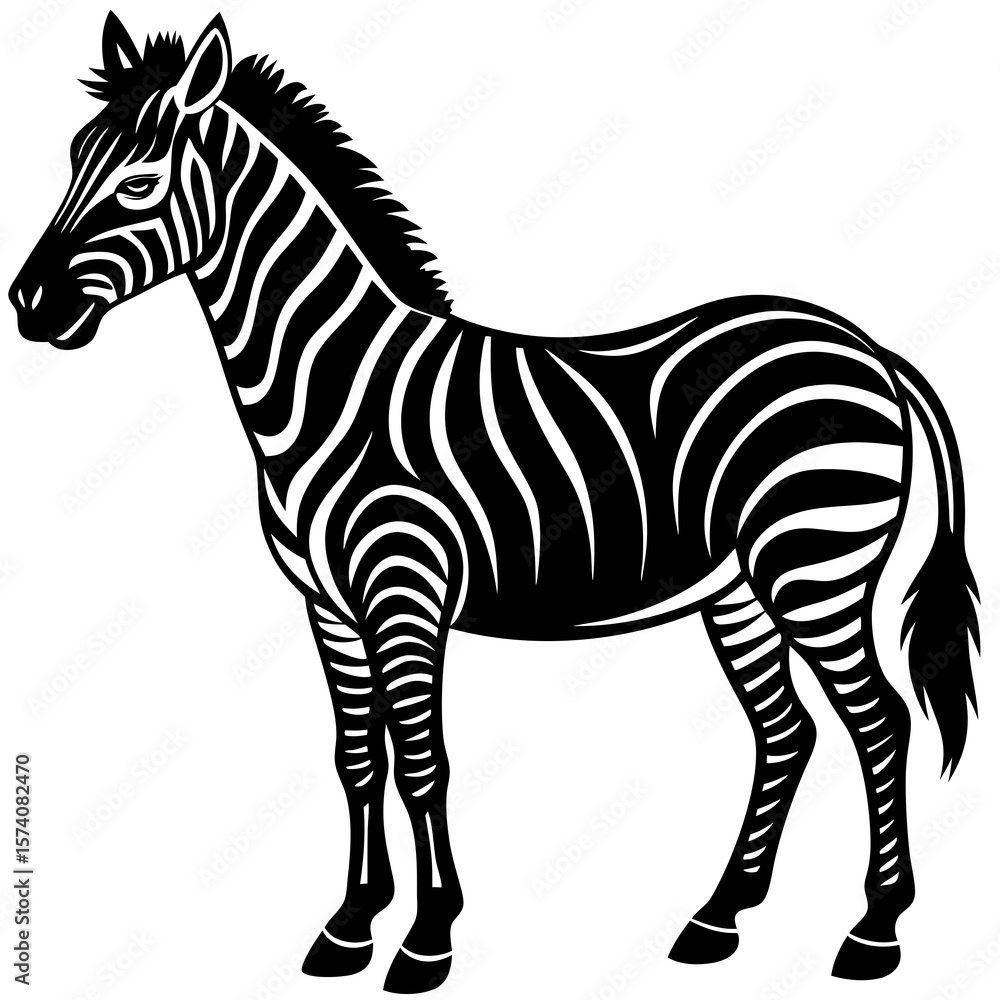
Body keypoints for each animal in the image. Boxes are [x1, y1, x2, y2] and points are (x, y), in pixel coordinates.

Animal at [9, 13, 980, 993]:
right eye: (70, 158)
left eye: (137, 183)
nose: (28, 303)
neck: (332, 386)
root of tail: (863, 344)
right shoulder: (328, 605)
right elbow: (356, 759)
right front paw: (349, 926)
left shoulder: (405, 587)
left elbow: (422, 761)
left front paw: (426, 938)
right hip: (739, 587)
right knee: (787, 732)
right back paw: (718, 920)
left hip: (814, 561)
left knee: (880, 722)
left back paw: (874, 932)